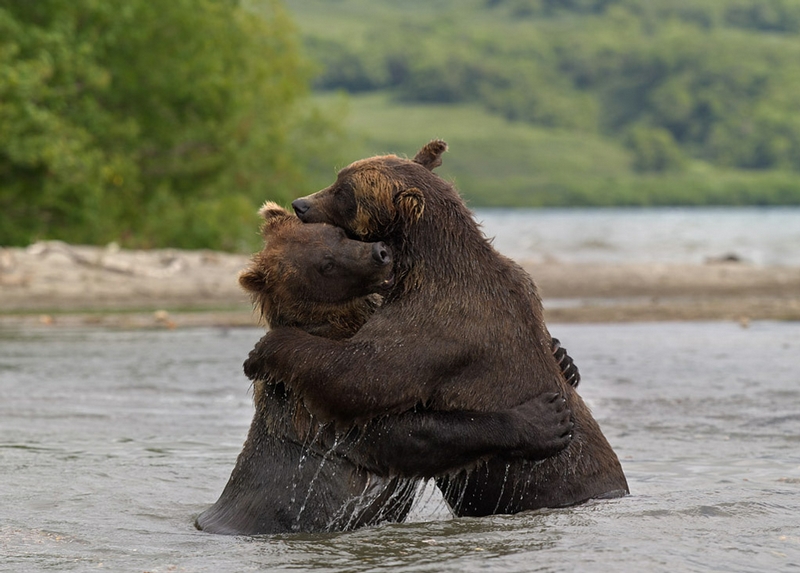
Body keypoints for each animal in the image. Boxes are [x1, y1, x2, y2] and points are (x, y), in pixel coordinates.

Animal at [197, 203, 580, 536]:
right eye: (325, 265)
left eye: (339, 233)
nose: (379, 252)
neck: (342, 324)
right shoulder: (311, 409)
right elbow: (406, 434)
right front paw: (542, 419)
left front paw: (563, 358)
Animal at [245, 142, 632, 512]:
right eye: (339, 178)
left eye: (344, 191)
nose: (300, 204)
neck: (422, 264)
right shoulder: (522, 283)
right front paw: (561, 357)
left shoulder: (437, 323)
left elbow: (362, 376)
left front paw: (262, 352)